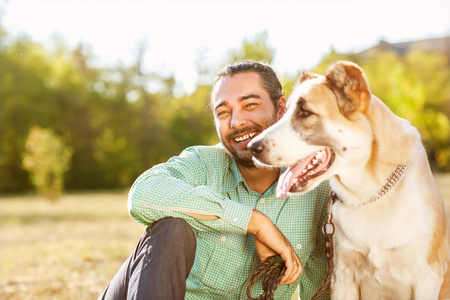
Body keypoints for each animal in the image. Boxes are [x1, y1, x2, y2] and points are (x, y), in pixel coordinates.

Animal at [250, 61, 450, 300]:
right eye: (284, 113)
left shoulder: (427, 277)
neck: (369, 195)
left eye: (306, 113)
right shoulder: (343, 275)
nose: (252, 147)